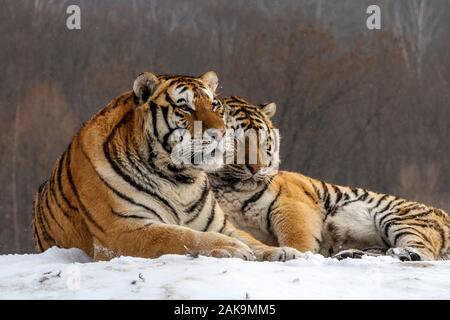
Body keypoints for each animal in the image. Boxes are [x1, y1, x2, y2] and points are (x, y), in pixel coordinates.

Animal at [31, 72, 302, 262]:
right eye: (185, 107)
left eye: (215, 106)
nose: (222, 133)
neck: (180, 180)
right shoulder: (122, 229)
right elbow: (179, 235)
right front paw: (230, 247)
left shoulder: (219, 225)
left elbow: (254, 242)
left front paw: (286, 252)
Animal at [210, 96, 450, 262]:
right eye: (236, 141)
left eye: (263, 141)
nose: (257, 167)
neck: (226, 185)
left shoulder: (291, 205)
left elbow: (296, 238)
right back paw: (349, 255)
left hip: (399, 217)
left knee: (423, 250)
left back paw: (405, 254)